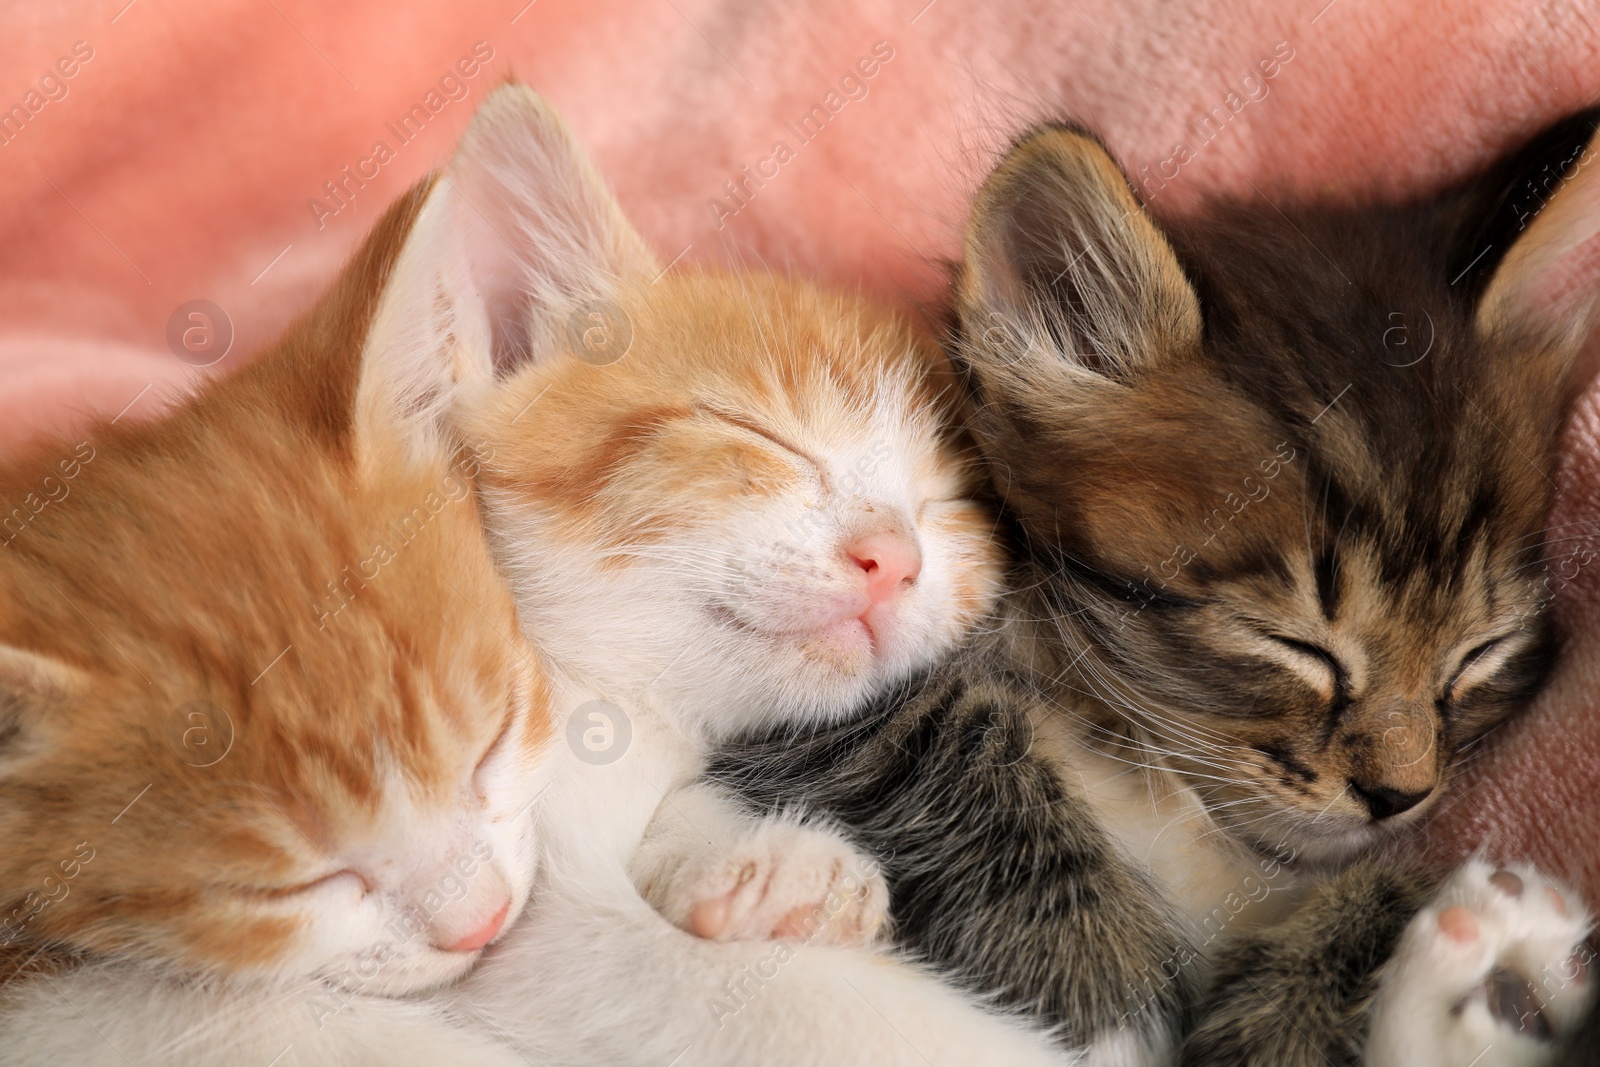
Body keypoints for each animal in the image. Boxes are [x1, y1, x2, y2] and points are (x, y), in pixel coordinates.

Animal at [356, 85, 1068, 1067]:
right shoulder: (511, 912)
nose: (894, 555)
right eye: (756, 433)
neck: (608, 711)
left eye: (951, 503)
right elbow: (782, 1009)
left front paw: (766, 869)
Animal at [707, 116, 1600, 1067]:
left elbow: (1368, 893)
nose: (1400, 795)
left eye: (1483, 650)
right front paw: (1099, 982)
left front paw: (1291, 1009)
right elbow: (935, 733)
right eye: (1290, 643)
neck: (1149, 763)